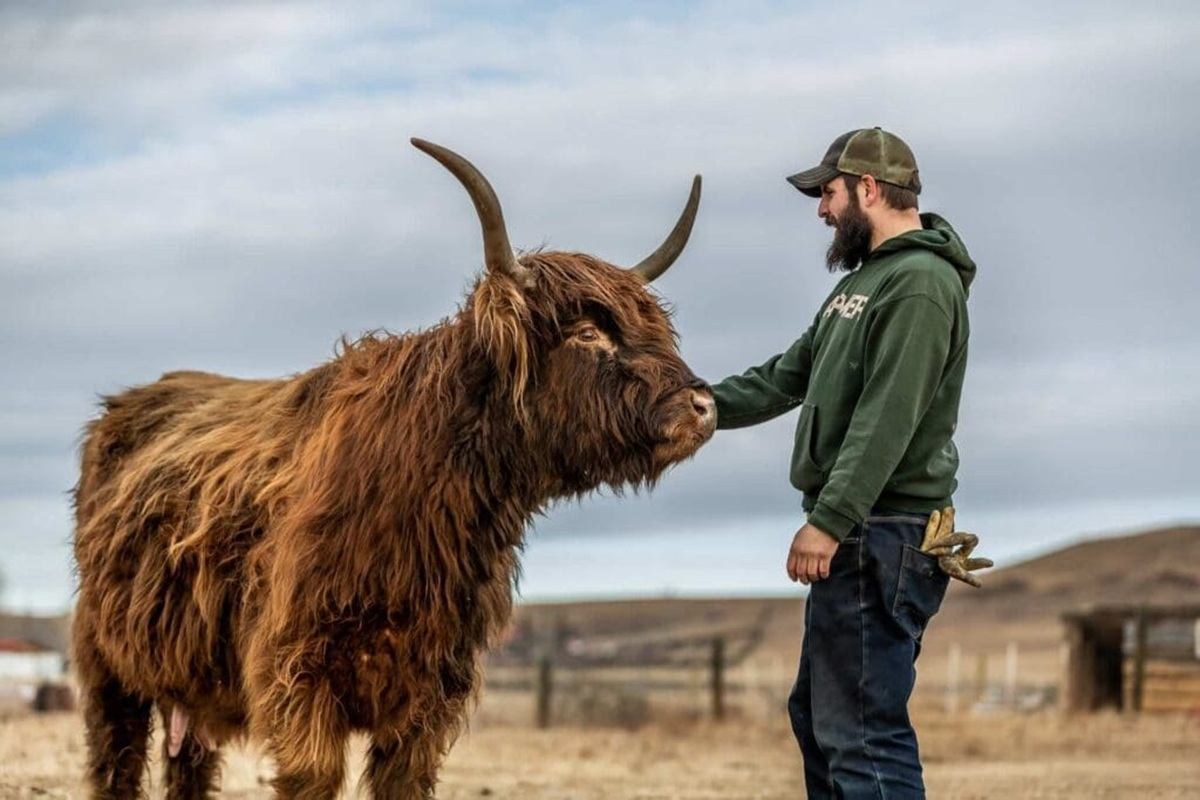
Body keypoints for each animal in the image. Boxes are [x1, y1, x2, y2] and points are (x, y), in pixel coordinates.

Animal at [71, 139, 715, 798]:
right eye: (587, 333)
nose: (703, 405)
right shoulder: (296, 675)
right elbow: (313, 778)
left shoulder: (431, 693)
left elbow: (405, 778)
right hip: (107, 665)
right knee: (117, 760)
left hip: (191, 687)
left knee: (188, 765)